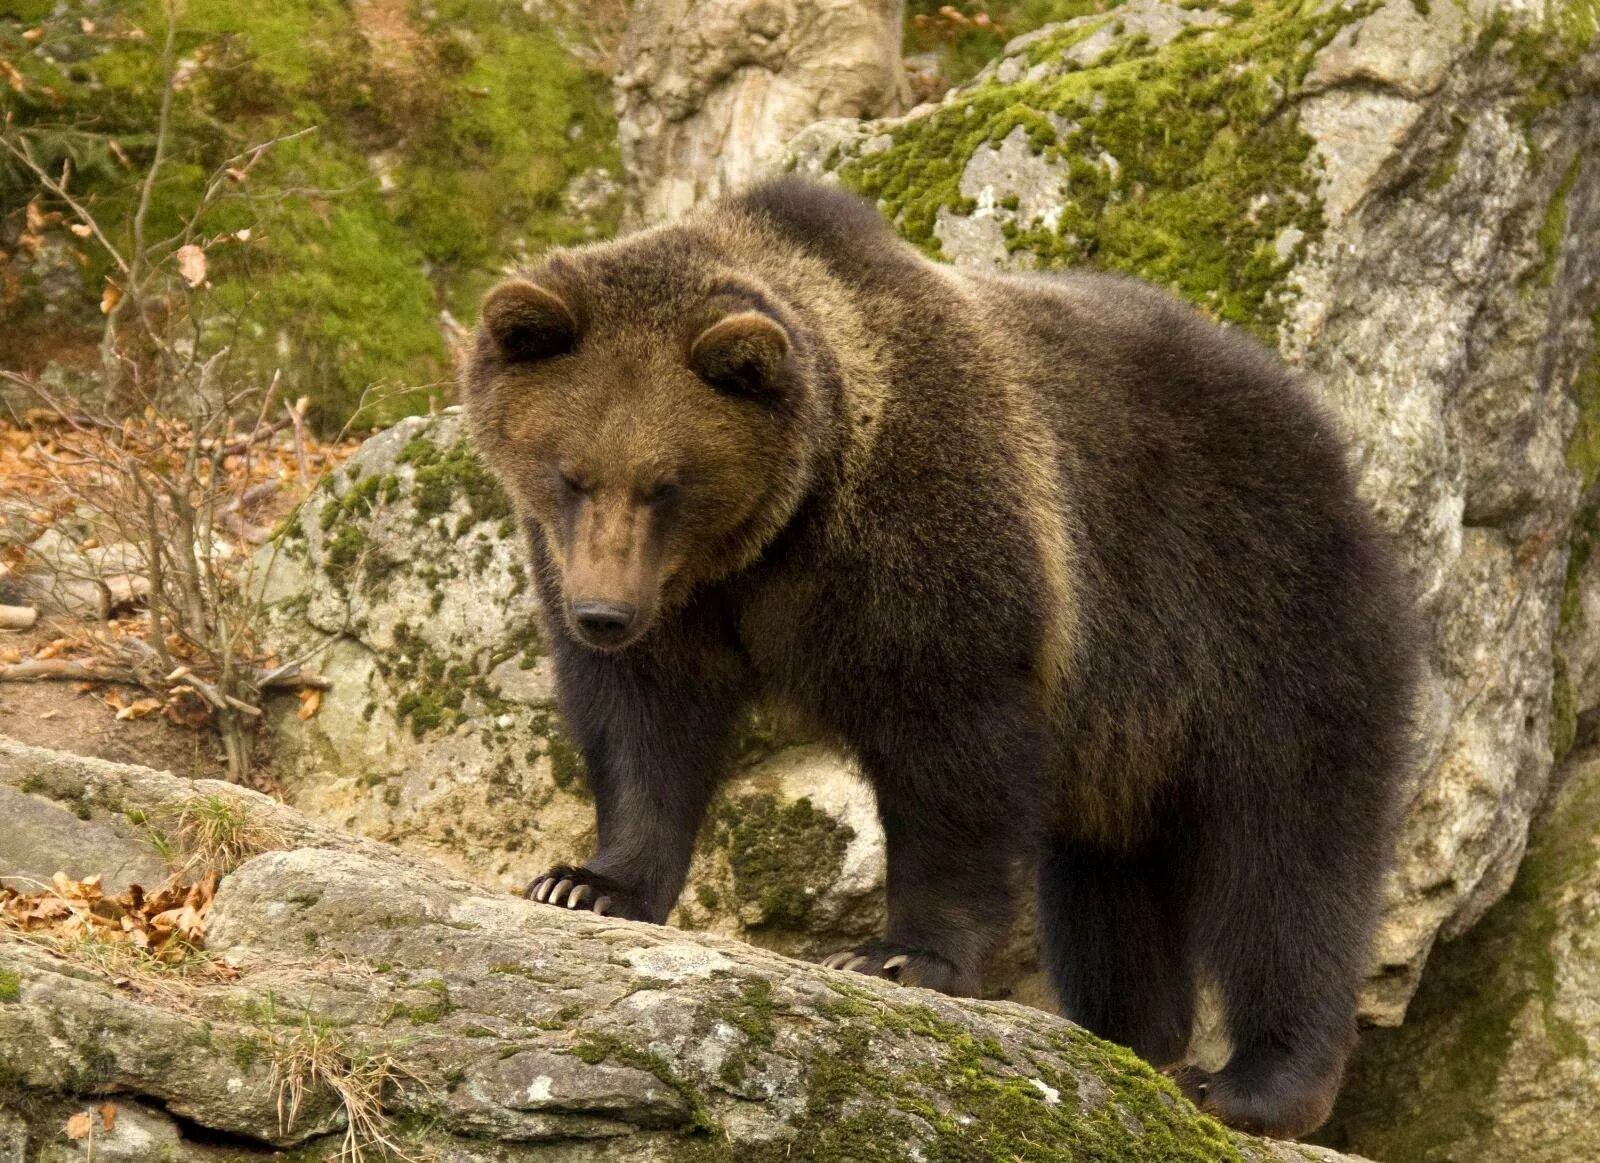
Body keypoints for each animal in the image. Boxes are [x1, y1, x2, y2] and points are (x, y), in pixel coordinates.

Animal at [457, 177, 1420, 1139]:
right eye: (571, 473)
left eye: (667, 483)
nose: (602, 613)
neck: (779, 529)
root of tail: (1334, 451)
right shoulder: (676, 599)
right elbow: (644, 727)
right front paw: (585, 883)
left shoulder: (932, 550)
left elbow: (954, 754)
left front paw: (897, 955)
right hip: (1129, 742)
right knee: (1110, 888)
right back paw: (1126, 1037)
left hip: (1261, 619)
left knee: (1287, 856)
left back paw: (1252, 1080)